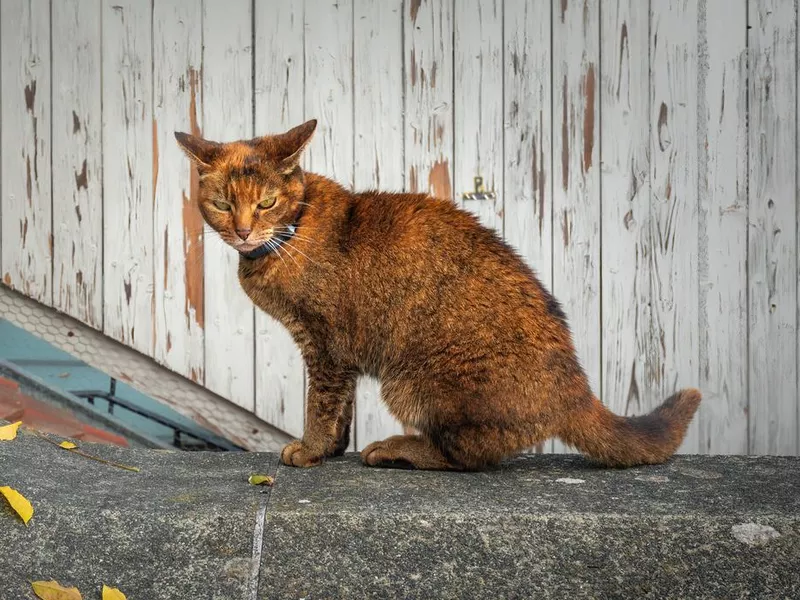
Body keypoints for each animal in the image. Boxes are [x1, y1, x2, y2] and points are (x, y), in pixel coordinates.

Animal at [177, 119, 700, 472]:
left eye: (266, 202)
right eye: (222, 204)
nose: (244, 231)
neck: (293, 232)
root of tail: (575, 387)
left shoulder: (327, 346)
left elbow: (320, 404)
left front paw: (309, 449)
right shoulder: (337, 353)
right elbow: (342, 407)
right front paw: (332, 449)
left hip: (409, 383)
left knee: (469, 455)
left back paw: (394, 450)